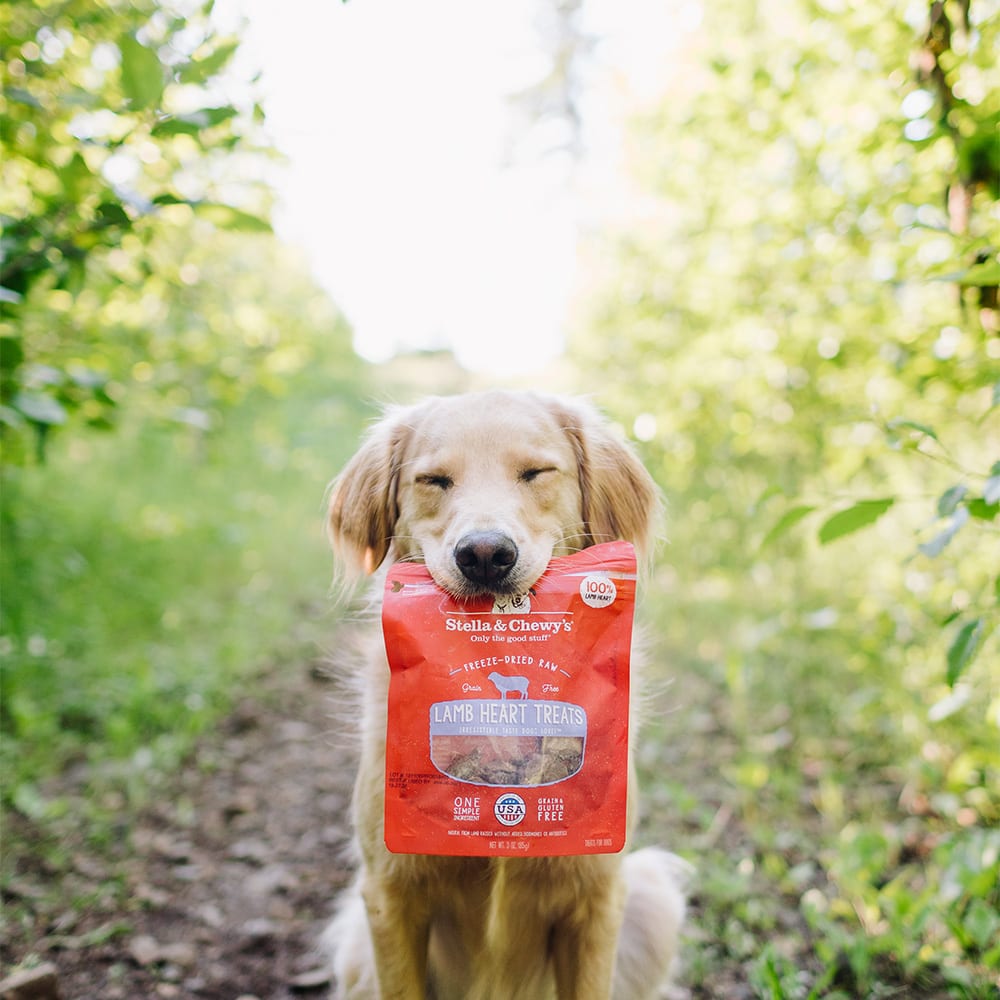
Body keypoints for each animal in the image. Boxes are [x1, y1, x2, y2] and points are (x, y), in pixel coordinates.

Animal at [324, 390, 684, 1000]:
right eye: (434, 480)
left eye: (536, 472)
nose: (486, 554)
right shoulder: (389, 895)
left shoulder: (596, 895)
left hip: (652, 898)